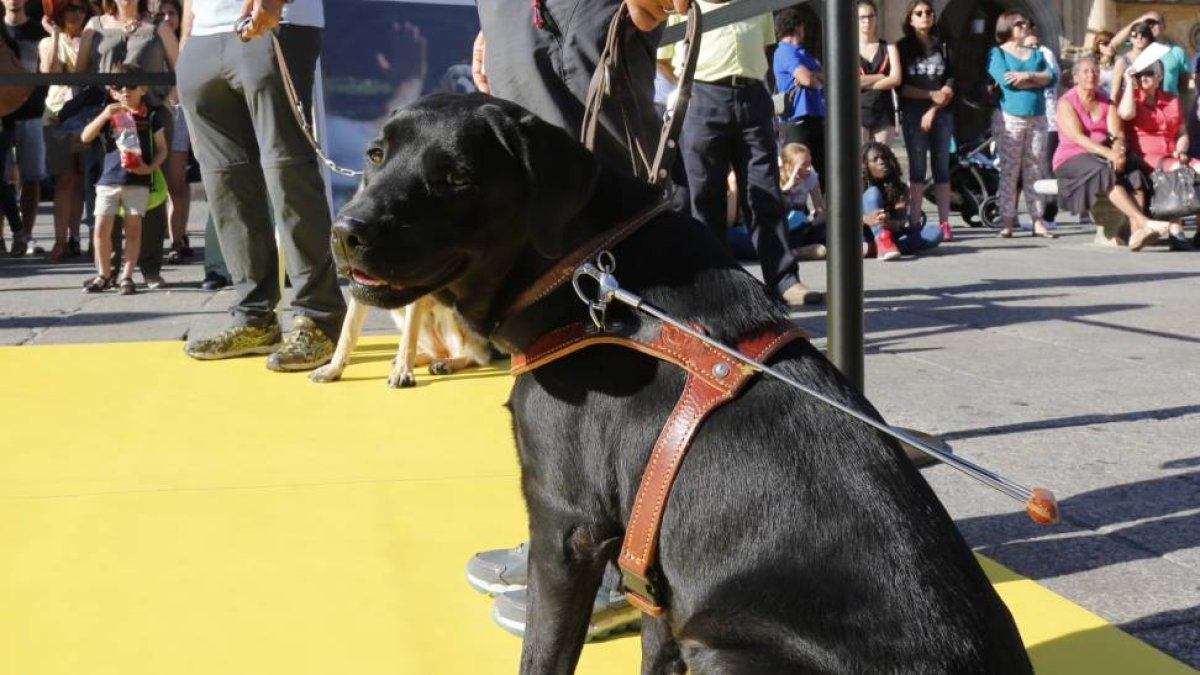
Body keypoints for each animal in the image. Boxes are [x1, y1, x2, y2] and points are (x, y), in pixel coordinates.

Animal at [331, 94, 1032, 672]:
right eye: (375, 155)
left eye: (456, 178)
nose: (346, 231)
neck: (587, 279)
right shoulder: (653, 572)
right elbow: (653, 651)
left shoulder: (566, 528)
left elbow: (543, 655)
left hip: (732, 648)